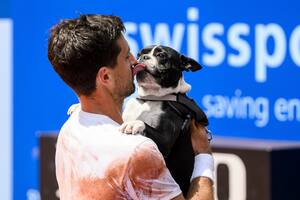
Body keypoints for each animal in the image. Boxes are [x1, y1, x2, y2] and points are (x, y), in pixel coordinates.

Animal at [120, 45, 210, 195]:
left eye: (161, 55)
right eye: (138, 54)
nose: (143, 57)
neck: (150, 98)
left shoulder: (165, 140)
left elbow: (144, 124)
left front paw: (134, 124)